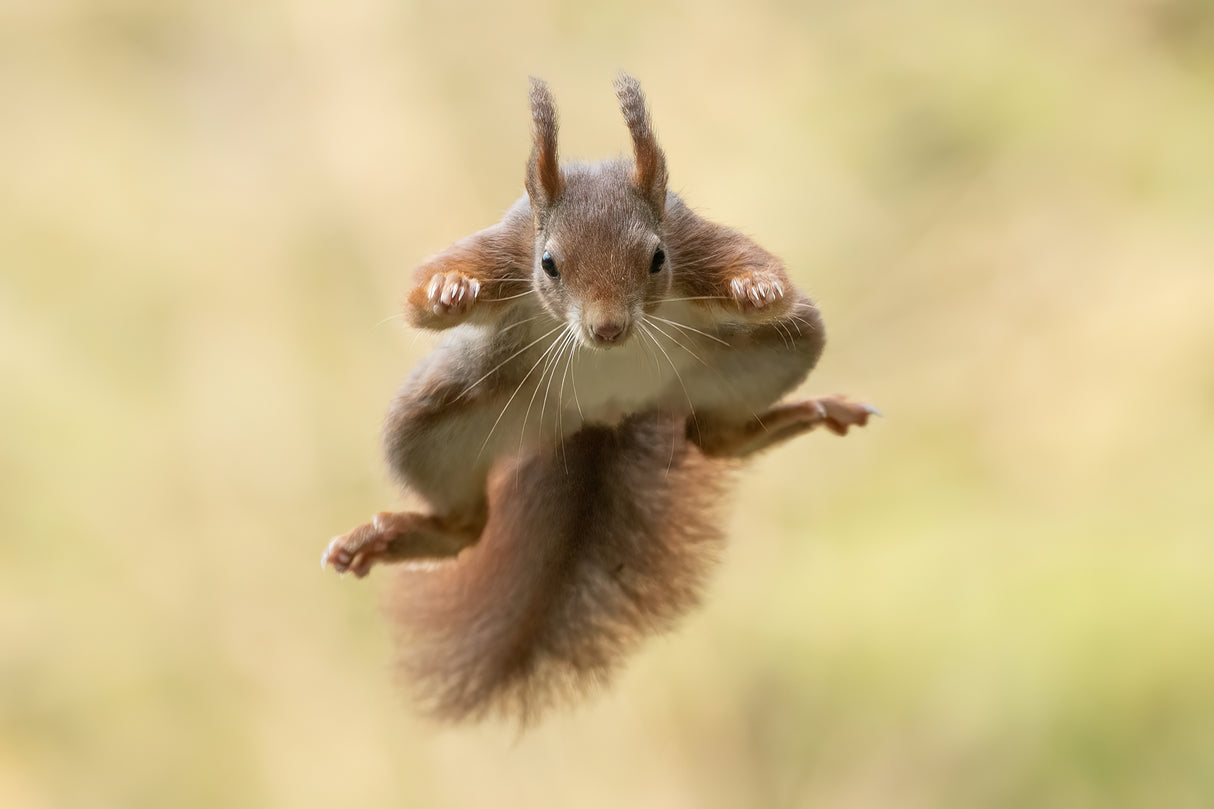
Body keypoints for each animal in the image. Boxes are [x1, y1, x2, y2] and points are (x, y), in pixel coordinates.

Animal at [321, 74, 876, 724]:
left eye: (657, 258)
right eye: (548, 263)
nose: (608, 330)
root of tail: (601, 419)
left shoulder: (694, 240)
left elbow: (768, 280)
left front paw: (755, 288)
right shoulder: (504, 248)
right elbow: (422, 300)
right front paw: (448, 289)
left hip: (775, 351)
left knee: (715, 437)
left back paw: (809, 412)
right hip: (433, 420)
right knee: (465, 525)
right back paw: (387, 538)